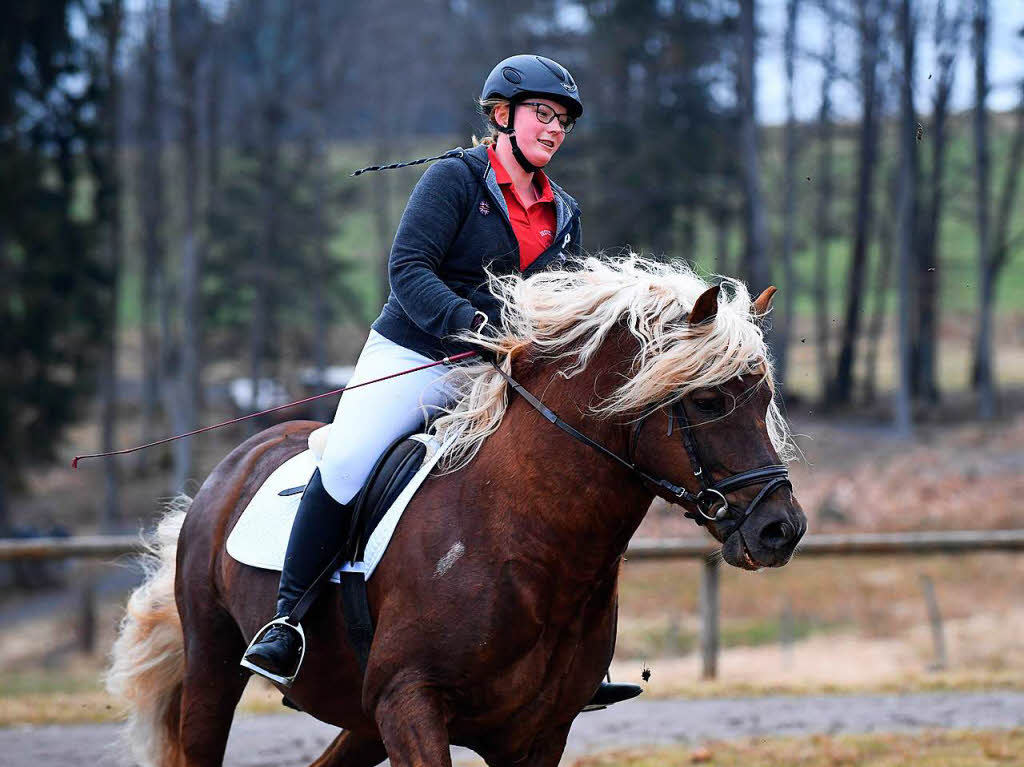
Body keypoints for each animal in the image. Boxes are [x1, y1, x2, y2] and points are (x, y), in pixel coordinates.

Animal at [105, 257, 806, 765]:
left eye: (764, 397)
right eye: (709, 401)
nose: (781, 529)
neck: (529, 536)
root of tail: (234, 464)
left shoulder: (535, 734)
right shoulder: (409, 703)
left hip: (359, 715)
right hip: (214, 665)